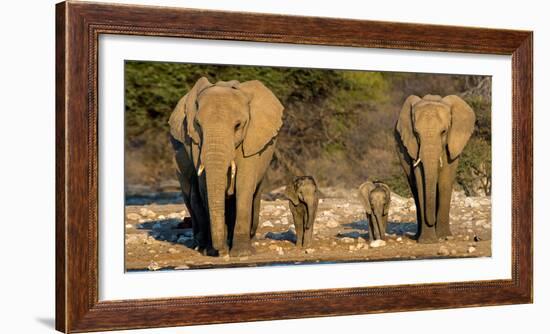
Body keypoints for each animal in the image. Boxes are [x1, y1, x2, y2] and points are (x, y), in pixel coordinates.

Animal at [170, 77, 284, 258]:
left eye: (238, 125)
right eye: (198, 125)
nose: (220, 249)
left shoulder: (251, 140)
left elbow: (244, 185)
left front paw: (242, 253)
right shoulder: (195, 143)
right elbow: (205, 187)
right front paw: (214, 251)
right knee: (190, 195)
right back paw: (199, 245)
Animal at [394, 94, 476, 243]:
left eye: (443, 132)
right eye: (416, 133)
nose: (431, 221)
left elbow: (445, 181)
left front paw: (444, 236)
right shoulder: (413, 146)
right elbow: (421, 181)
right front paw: (427, 241)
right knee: (414, 189)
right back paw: (417, 236)